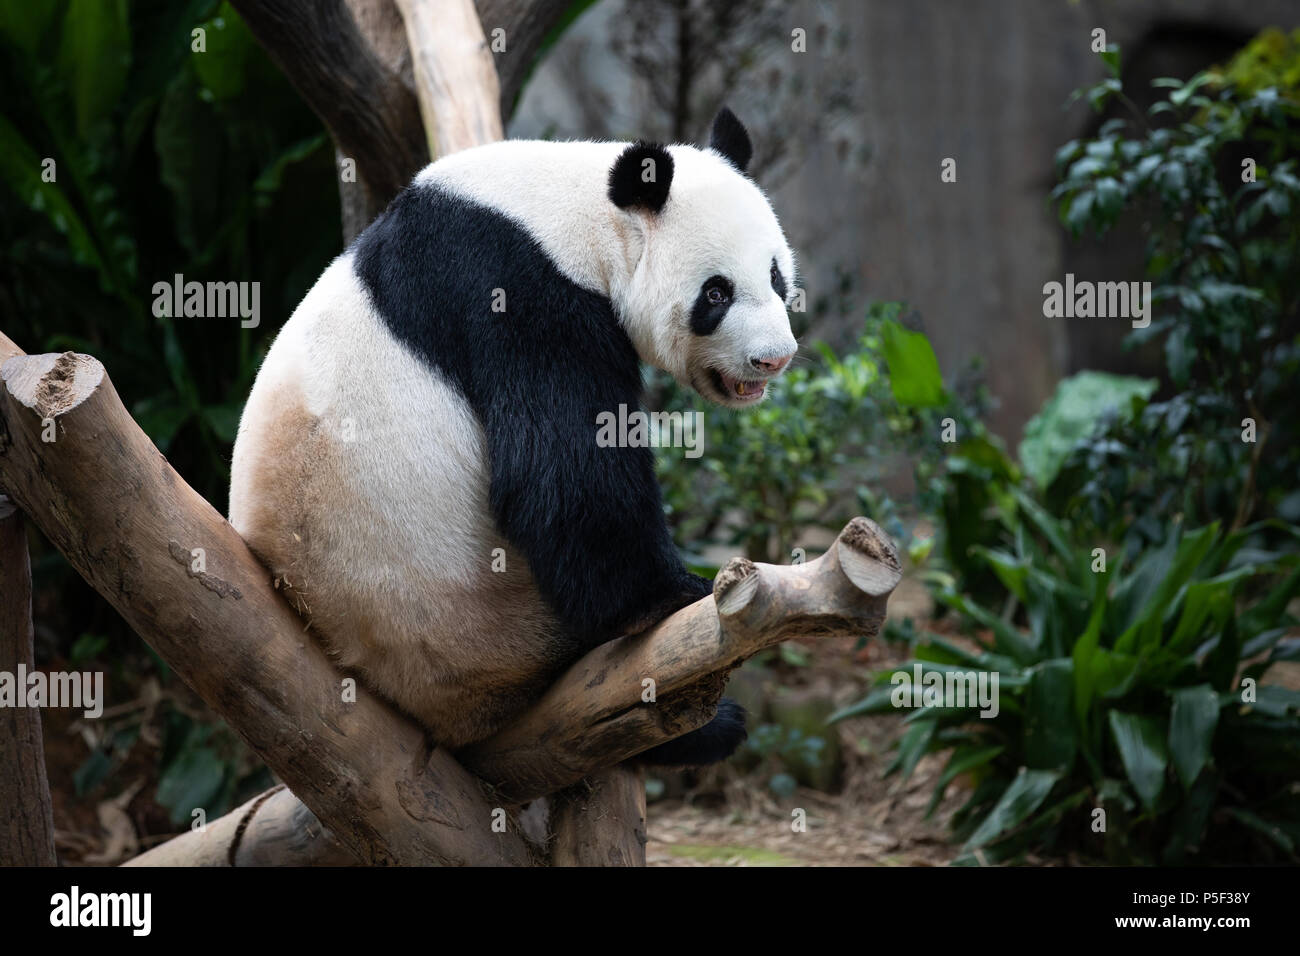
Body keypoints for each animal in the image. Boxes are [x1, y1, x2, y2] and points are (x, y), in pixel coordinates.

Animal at [228, 108, 798, 767]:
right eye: (716, 293)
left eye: (776, 277)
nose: (773, 358)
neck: (581, 219)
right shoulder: (515, 294)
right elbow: (562, 481)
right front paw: (673, 595)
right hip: (485, 633)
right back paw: (709, 729)